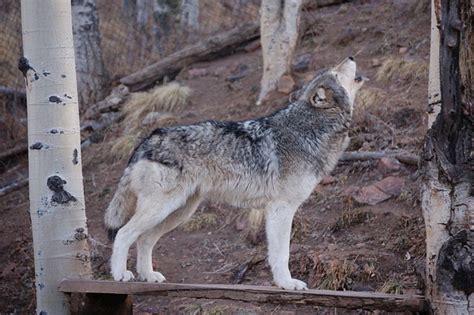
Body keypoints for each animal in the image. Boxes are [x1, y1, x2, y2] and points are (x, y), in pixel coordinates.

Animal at [104, 57, 366, 292]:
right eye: (335, 72)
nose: (352, 56)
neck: (307, 129)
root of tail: (147, 140)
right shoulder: (281, 208)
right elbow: (282, 253)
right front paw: (287, 283)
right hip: (162, 208)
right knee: (124, 234)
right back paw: (120, 274)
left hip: (179, 212)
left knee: (144, 239)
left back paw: (149, 276)